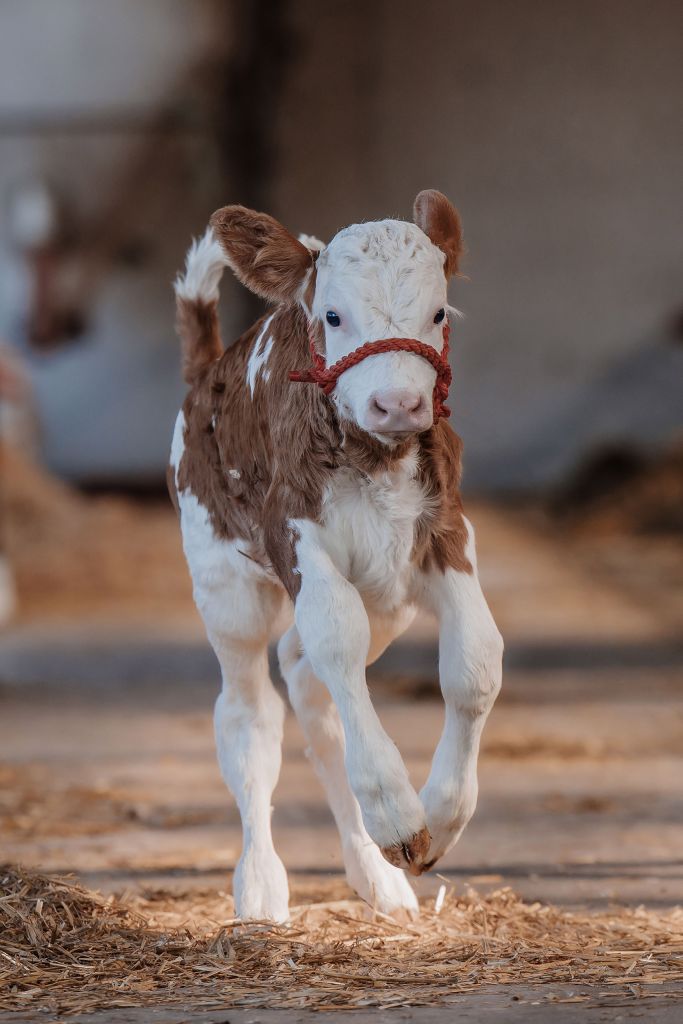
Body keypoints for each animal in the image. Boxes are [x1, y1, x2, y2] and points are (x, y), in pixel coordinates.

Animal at [169, 190, 501, 921]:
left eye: (438, 313)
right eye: (332, 315)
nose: (397, 403)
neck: (374, 456)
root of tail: (208, 366)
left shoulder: (445, 534)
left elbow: (474, 663)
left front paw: (438, 817)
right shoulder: (295, 538)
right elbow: (335, 637)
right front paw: (398, 814)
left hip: (387, 600)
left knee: (312, 690)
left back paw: (376, 876)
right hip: (225, 589)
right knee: (251, 716)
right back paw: (260, 886)